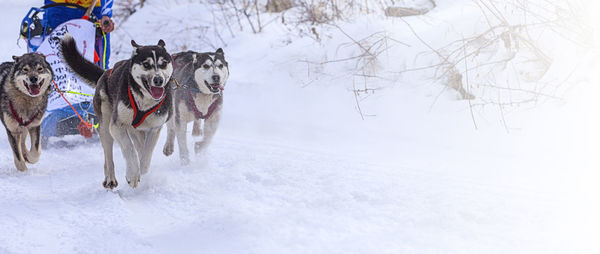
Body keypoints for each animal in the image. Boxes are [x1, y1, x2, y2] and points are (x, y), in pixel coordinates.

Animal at [61, 34, 173, 188]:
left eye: (163, 63)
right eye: (146, 64)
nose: (158, 80)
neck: (144, 102)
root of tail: (105, 73)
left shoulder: (155, 128)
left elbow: (146, 154)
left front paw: (142, 170)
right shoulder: (116, 126)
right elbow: (129, 149)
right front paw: (132, 175)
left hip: (135, 130)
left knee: (139, 146)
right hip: (105, 127)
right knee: (109, 156)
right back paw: (110, 179)